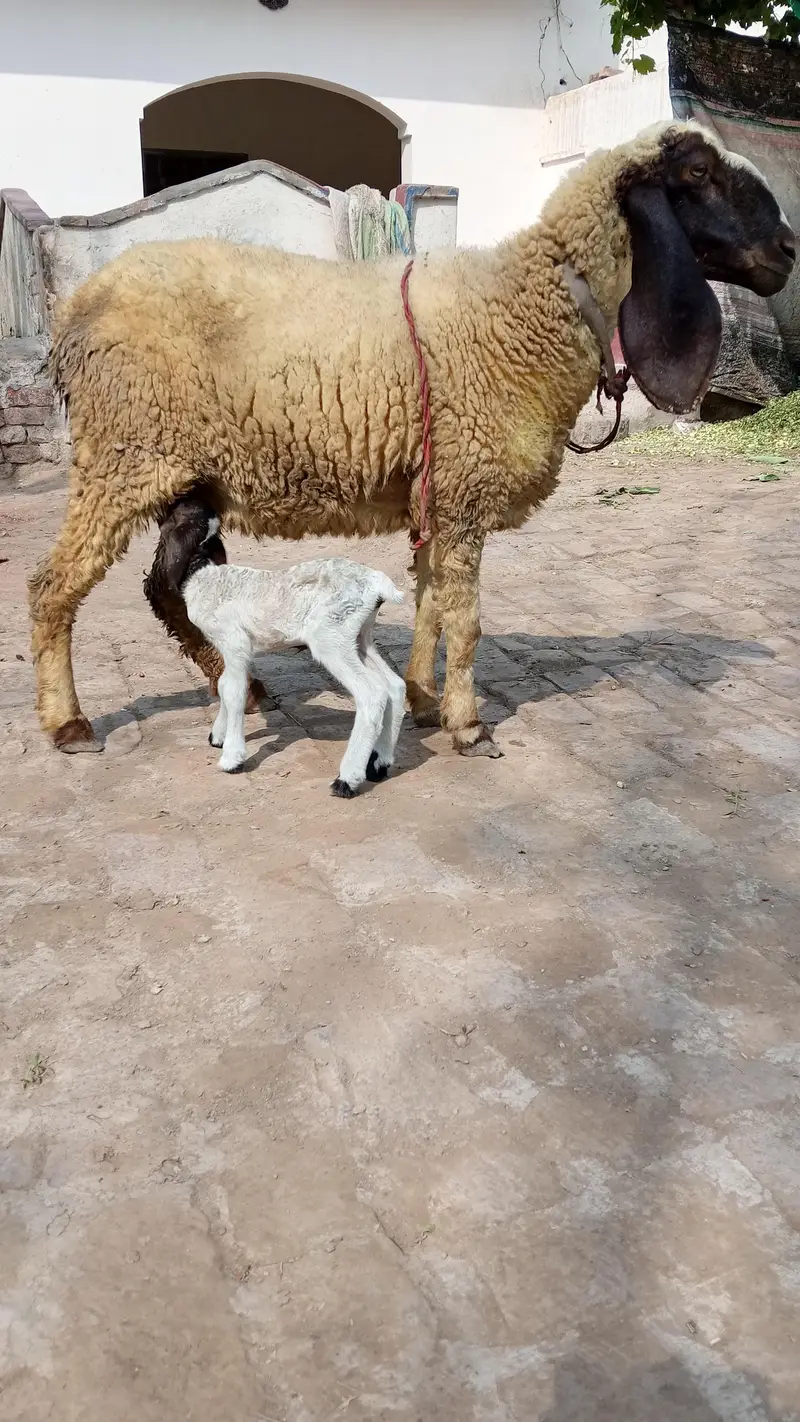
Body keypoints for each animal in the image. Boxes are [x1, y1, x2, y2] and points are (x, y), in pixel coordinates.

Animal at [29, 121, 795, 757]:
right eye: (696, 172)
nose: (788, 250)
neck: (526, 309)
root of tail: (71, 314)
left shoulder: (437, 491)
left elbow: (430, 606)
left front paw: (424, 700)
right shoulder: (463, 487)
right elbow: (466, 619)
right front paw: (468, 724)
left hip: (184, 479)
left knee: (168, 587)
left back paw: (240, 688)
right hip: (125, 456)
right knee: (55, 587)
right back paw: (68, 722)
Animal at [144, 493, 406, 793]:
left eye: (178, 511)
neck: (202, 572)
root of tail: (378, 583)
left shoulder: (233, 641)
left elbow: (233, 690)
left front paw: (232, 758)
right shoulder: (233, 649)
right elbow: (224, 684)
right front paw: (218, 736)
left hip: (331, 637)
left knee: (372, 694)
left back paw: (347, 780)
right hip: (360, 638)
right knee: (394, 686)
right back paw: (380, 763)